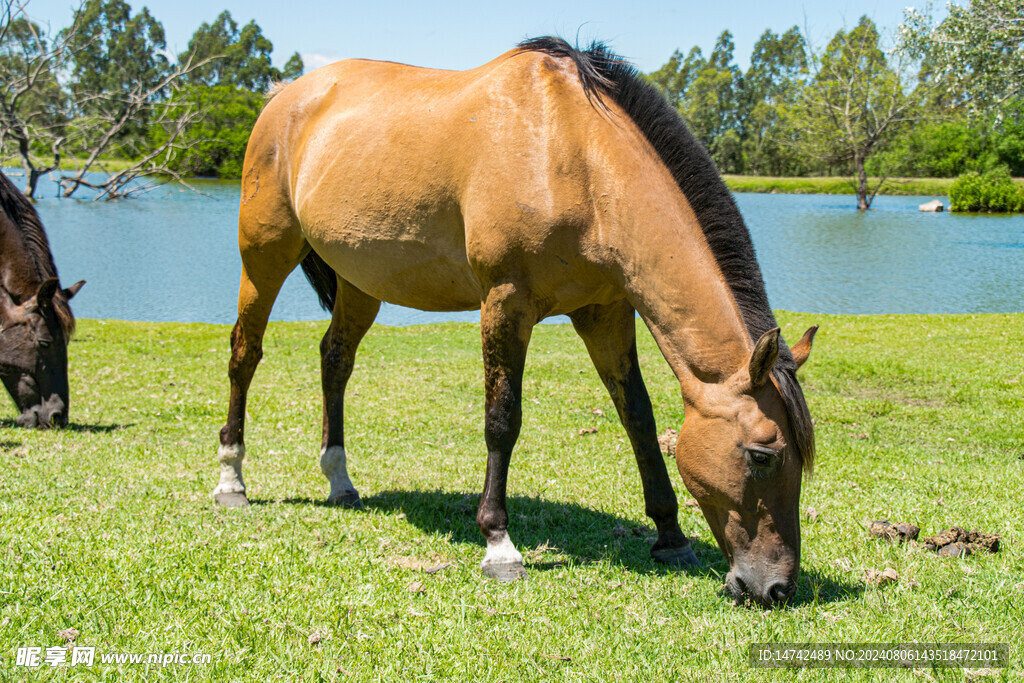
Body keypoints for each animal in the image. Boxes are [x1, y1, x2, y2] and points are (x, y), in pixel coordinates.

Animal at [215, 37, 818, 607]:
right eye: (762, 455)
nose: (777, 588)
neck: (571, 153)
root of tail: (285, 95)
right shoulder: (506, 304)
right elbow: (502, 419)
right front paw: (499, 545)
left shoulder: (605, 313)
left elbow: (639, 419)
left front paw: (670, 536)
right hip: (264, 256)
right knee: (245, 354)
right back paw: (231, 478)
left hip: (360, 282)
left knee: (335, 360)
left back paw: (340, 481)